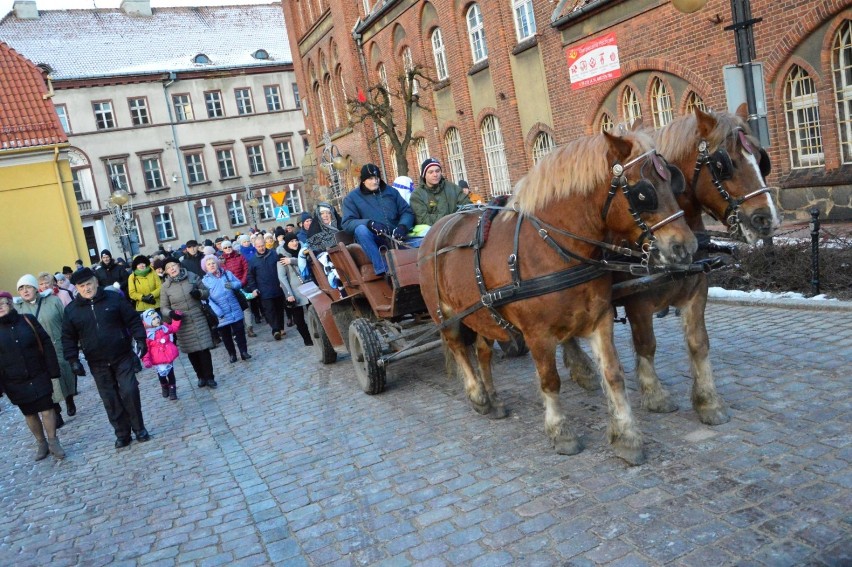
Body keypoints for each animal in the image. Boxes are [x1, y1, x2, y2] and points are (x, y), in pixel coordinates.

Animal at [420, 132, 700, 466]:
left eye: (672, 180)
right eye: (643, 194)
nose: (685, 247)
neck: (553, 248)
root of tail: (434, 231)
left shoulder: (599, 319)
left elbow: (613, 374)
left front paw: (627, 436)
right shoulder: (537, 334)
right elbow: (550, 380)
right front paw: (561, 432)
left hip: (483, 314)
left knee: (483, 352)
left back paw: (493, 398)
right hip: (447, 316)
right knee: (460, 350)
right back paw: (477, 395)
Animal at [564, 105, 784, 426]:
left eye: (760, 159)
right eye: (724, 164)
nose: (767, 219)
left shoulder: (696, 292)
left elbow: (698, 343)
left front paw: (708, 402)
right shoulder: (638, 301)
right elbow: (646, 344)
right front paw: (655, 396)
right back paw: (581, 369)